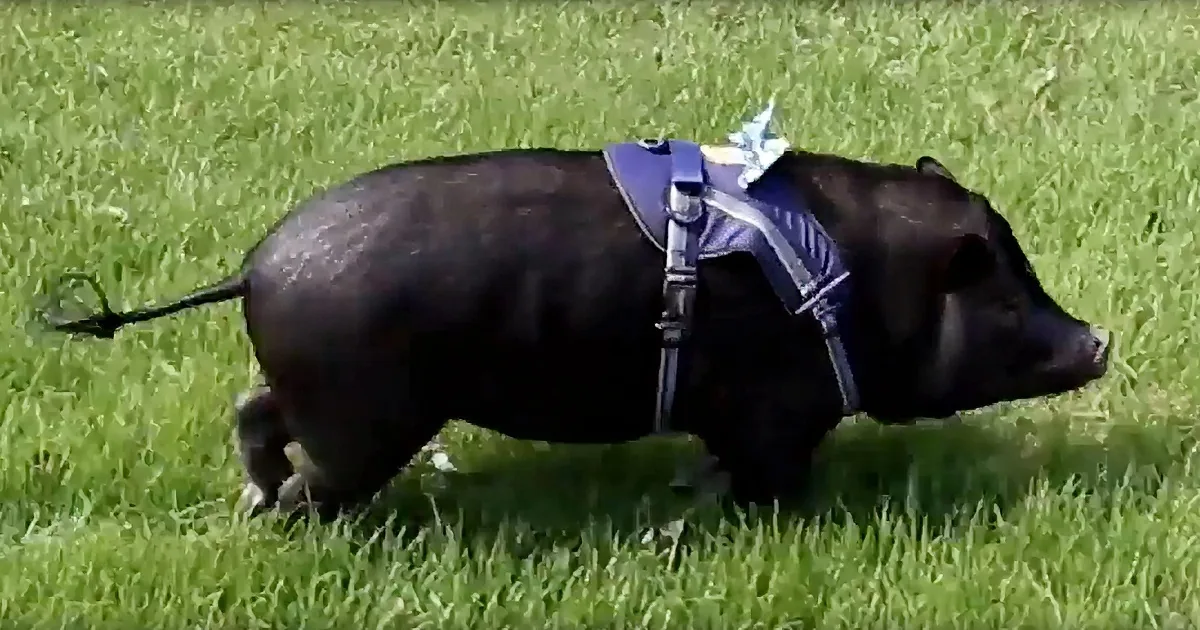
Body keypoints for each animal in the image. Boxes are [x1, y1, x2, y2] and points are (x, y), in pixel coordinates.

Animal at [41, 146, 1111, 520]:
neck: (847, 287)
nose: (1098, 339)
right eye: (1004, 301)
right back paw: (292, 524)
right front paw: (709, 512)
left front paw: (688, 492)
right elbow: (769, 475)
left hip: (313, 388)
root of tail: (256, 269)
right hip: (362, 416)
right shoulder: (777, 410)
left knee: (253, 409)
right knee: (315, 474)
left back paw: (255, 501)